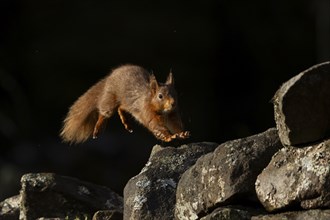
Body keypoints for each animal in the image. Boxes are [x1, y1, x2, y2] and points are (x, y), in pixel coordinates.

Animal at [60, 63, 188, 144]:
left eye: (175, 93)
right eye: (160, 96)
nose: (173, 104)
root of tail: (110, 77)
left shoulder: (172, 115)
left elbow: (175, 126)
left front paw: (182, 134)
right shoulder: (148, 112)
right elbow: (157, 127)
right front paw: (169, 137)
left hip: (127, 103)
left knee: (121, 107)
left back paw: (126, 123)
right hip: (110, 97)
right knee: (105, 112)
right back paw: (98, 127)